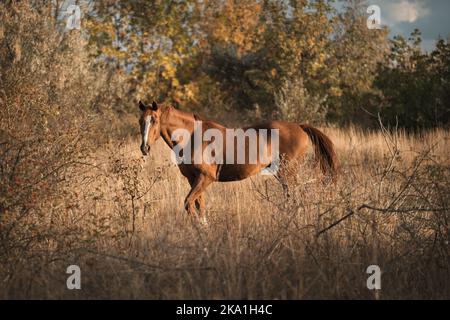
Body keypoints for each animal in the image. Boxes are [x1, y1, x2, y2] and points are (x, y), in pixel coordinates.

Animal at [139, 100, 336, 222]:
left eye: (154, 120)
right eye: (141, 121)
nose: (144, 147)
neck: (193, 136)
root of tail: (300, 126)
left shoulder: (206, 178)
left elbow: (188, 203)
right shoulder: (193, 179)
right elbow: (199, 206)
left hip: (288, 172)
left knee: (297, 196)